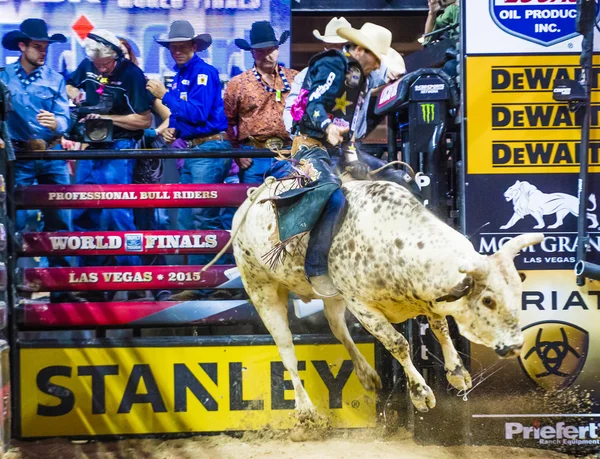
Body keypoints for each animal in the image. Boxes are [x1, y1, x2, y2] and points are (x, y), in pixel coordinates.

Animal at [230, 177, 544, 420]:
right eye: (488, 301)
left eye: (517, 293)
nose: (516, 346)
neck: (394, 242)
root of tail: (249, 202)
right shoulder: (362, 306)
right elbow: (398, 344)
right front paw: (420, 394)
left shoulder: (429, 299)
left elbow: (441, 328)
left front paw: (457, 373)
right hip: (261, 289)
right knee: (286, 350)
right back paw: (306, 410)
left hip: (331, 297)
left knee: (338, 328)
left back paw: (366, 375)